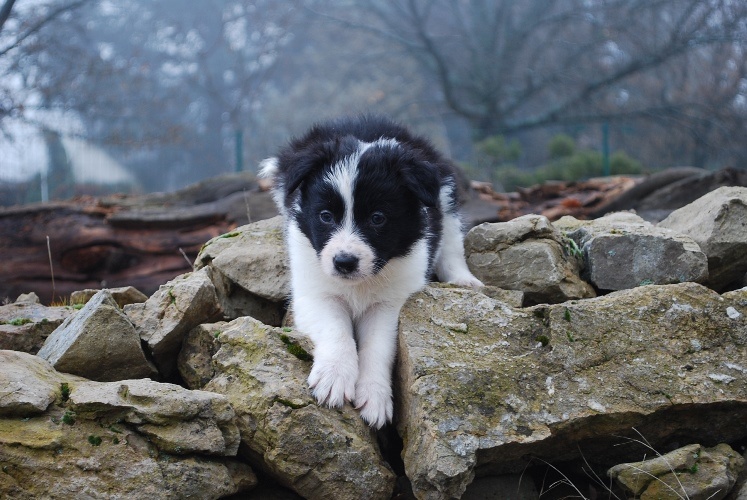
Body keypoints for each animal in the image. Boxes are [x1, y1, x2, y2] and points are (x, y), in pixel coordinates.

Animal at [262, 115, 482, 428]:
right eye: (325, 216)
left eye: (378, 218)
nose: (344, 262)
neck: (359, 283)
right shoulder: (316, 291)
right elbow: (336, 330)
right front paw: (334, 377)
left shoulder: (390, 303)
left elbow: (377, 347)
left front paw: (375, 397)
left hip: (445, 196)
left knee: (451, 240)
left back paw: (463, 280)